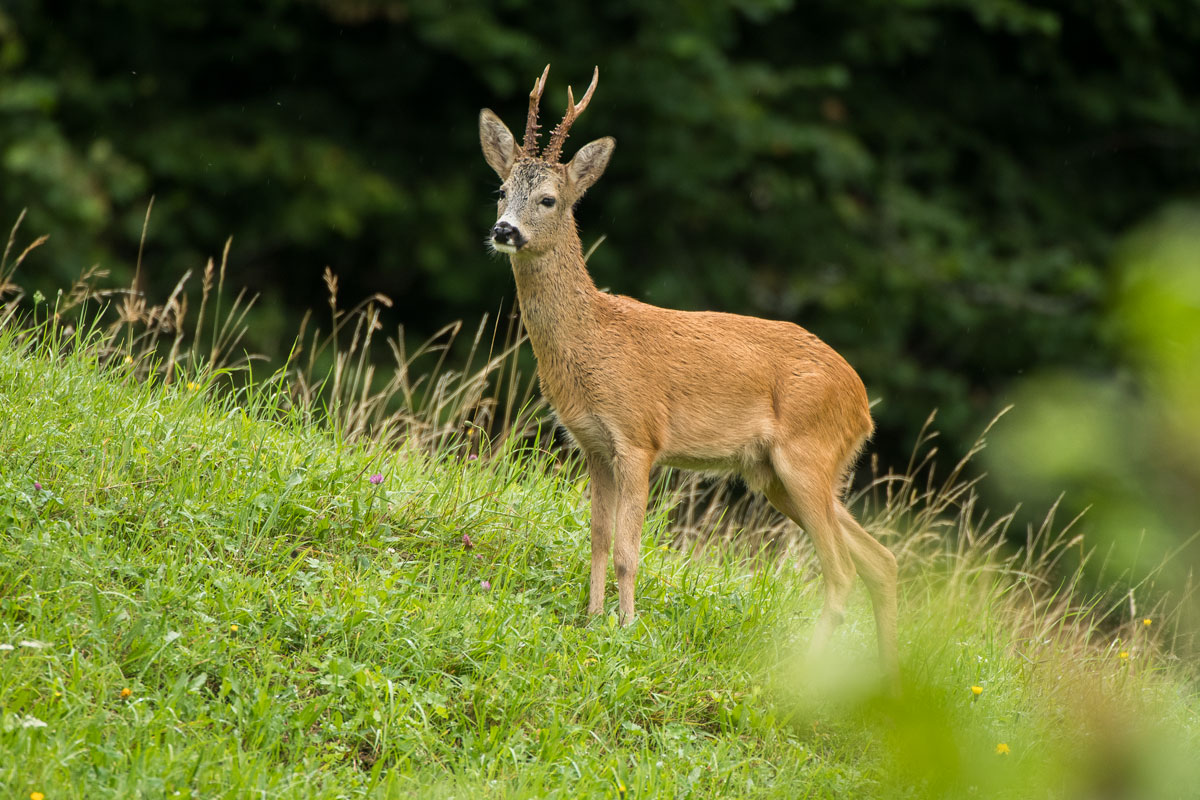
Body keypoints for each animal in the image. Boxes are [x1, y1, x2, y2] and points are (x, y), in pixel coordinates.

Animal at [477, 64, 902, 681]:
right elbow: (597, 538)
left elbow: (629, 549)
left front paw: (626, 629)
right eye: (502, 191)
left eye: (550, 199)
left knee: (842, 571)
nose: (504, 230)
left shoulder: (639, 437)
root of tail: (862, 403)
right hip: (781, 476)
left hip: (806, 457)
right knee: (881, 559)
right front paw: (592, 620)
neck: (593, 340)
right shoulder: (593, 444)